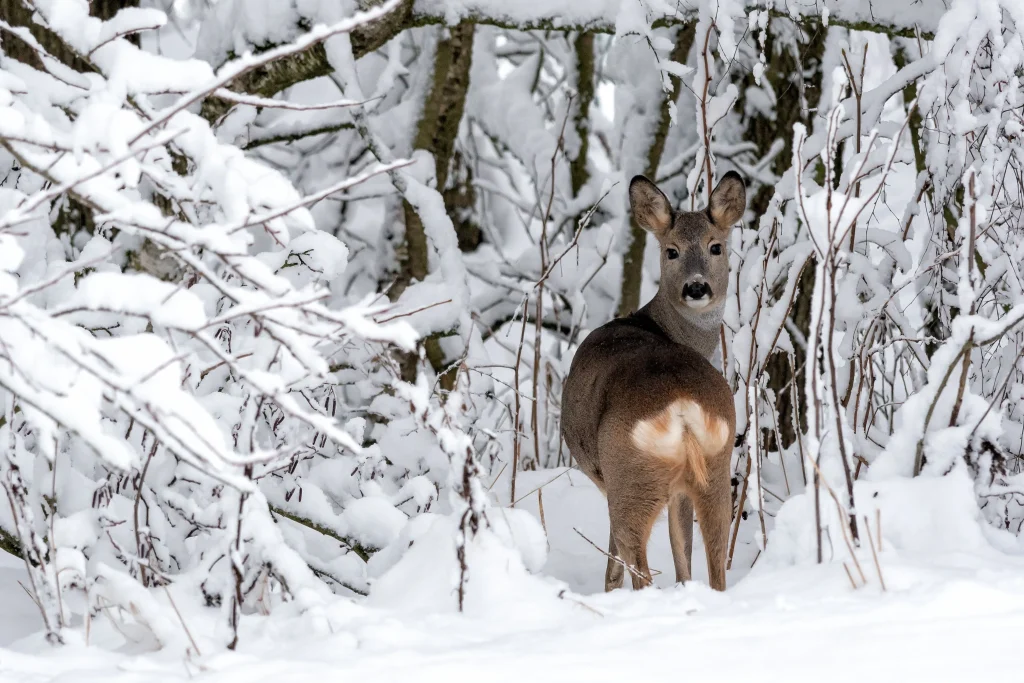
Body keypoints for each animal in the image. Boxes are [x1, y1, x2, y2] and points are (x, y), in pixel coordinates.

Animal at [561, 171, 745, 593]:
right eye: (671, 251)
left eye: (716, 247)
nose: (697, 287)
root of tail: (681, 406)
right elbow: (684, 552)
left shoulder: (606, 477)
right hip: (715, 467)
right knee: (713, 563)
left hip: (629, 475)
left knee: (637, 564)